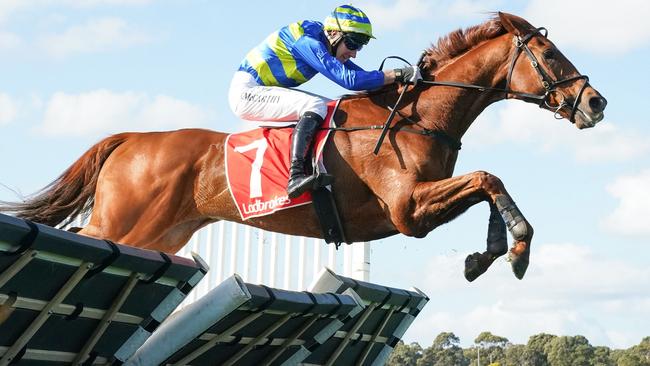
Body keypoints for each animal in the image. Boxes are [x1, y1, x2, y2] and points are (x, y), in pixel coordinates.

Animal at [2, 11, 604, 280]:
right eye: (551, 56)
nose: (595, 102)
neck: (415, 118)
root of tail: (130, 139)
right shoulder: (407, 210)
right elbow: (488, 177)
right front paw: (515, 248)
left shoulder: (418, 205)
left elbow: (489, 180)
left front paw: (489, 253)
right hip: (125, 222)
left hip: (162, 233)